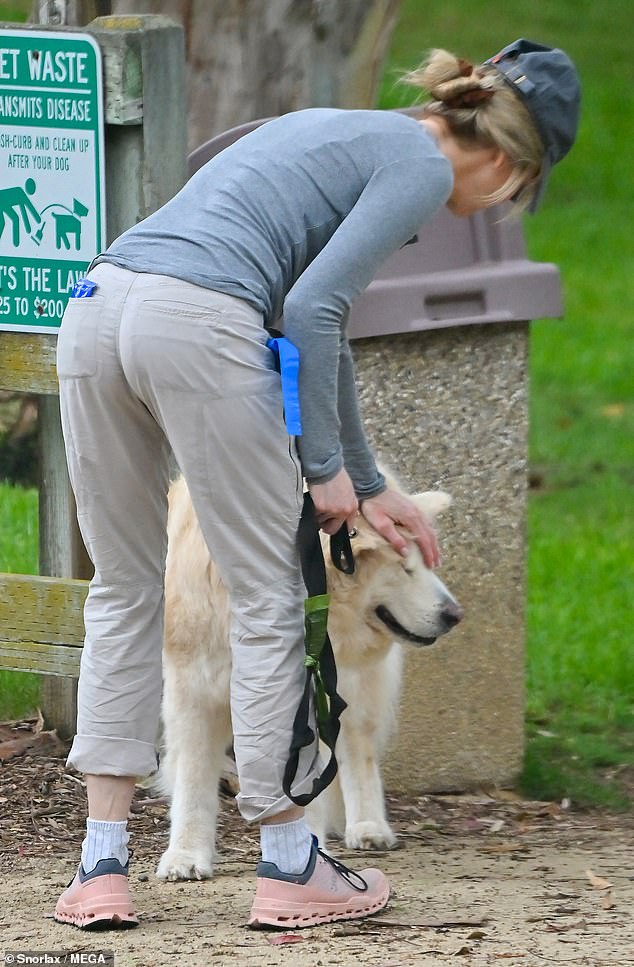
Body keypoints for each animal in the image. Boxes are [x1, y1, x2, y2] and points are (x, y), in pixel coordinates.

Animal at [153, 476, 460, 884]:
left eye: (424, 565)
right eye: (405, 568)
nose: (455, 614)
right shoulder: (193, 691)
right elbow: (192, 779)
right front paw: (186, 855)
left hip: (354, 689)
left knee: (357, 749)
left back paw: (367, 826)